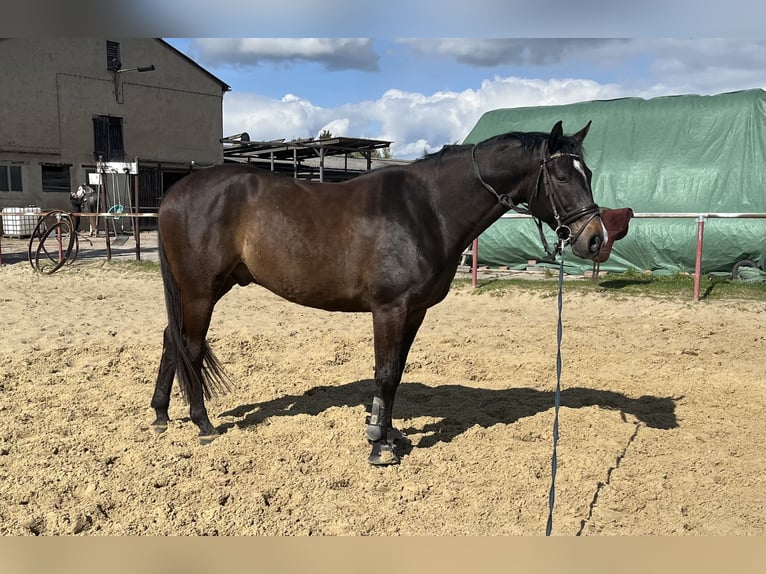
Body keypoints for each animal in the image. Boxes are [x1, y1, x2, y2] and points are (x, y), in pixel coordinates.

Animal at [151, 121, 618, 466]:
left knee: (171, 340)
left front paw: (389, 435)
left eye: (590, 174)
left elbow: (397, 373)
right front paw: (379, 445)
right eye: (562, 175)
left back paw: (160, 415)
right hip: (200, 291)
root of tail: (175, 192)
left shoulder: (414, 312)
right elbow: (386, 372)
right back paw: (202, 424)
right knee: (189, 346)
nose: (596, 239)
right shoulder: (389, 309)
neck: (426, 208)